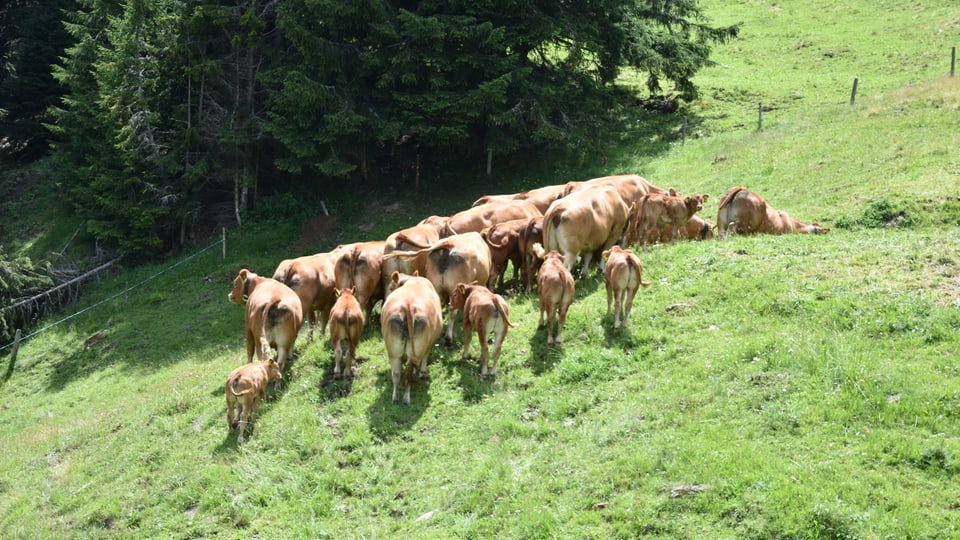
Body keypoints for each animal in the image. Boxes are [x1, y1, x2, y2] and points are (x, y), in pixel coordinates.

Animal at [380, 272, 444, 402]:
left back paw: (396, 398)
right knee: (410, 372)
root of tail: (408, 306)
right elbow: (426, 356)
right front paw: (423, 372)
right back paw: (406, 398)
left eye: (391, 288)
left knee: (397, 373)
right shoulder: (428, 344)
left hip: (393, 351)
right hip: (415, 352)